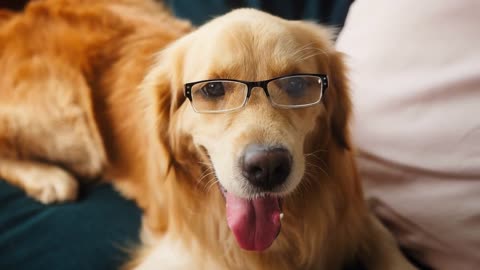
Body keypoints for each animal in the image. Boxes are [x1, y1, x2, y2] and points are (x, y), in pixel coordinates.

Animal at [0, 0, 416, 270]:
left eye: (297, 84)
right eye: (213, 89)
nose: (267, 167)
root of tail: (17, 15)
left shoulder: (356, 219)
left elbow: (390, 247)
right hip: (76, 133)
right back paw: (48, 178)